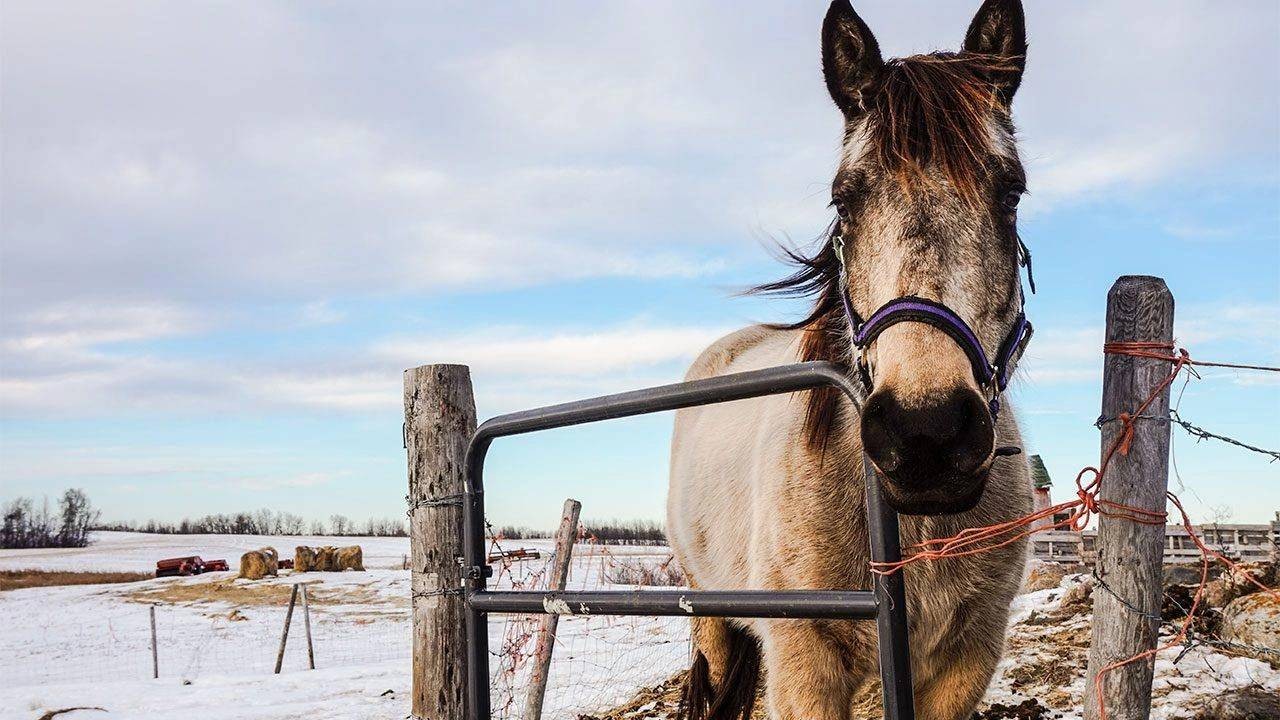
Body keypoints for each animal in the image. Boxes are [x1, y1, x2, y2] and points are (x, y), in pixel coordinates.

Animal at [670, 2, 1039, 712]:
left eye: (1011, 194)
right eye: (844, 199)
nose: (927, 434)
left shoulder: (966, 660)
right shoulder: (804, 664)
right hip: (711, 617)